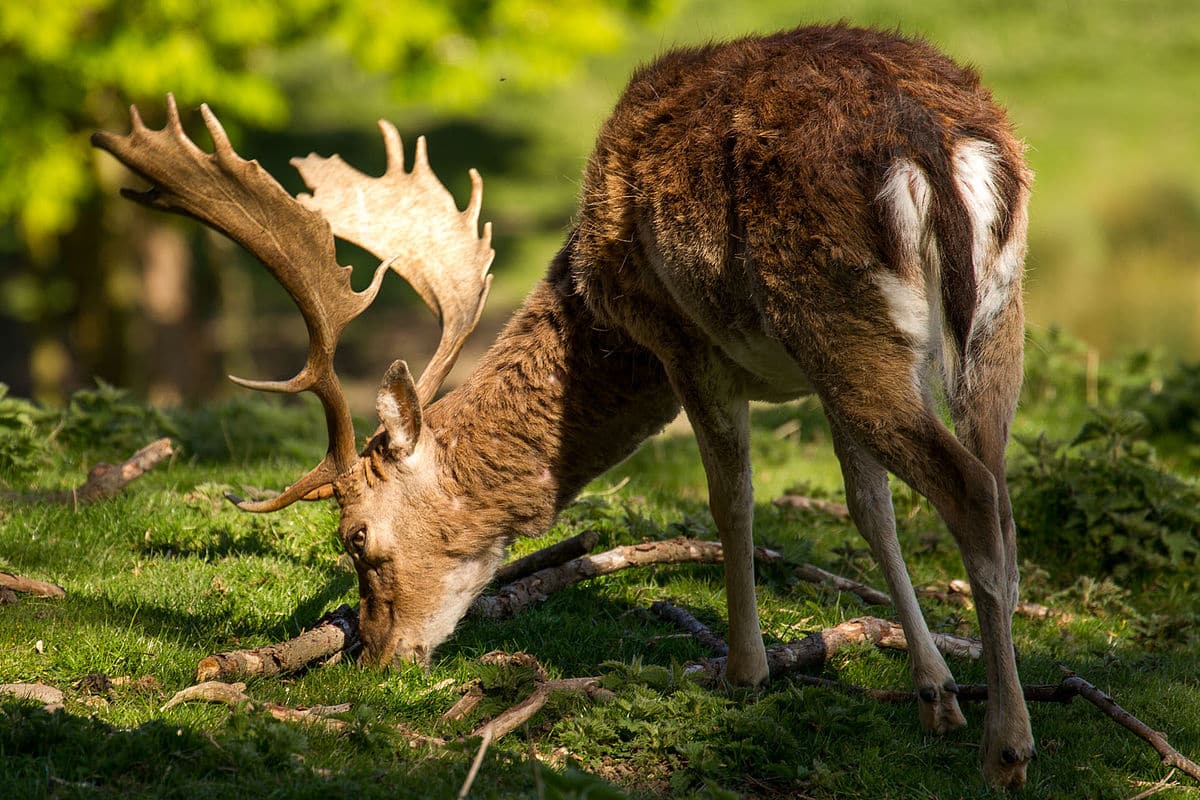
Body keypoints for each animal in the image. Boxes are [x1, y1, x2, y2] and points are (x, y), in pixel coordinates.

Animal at [92, 24, 1034, 789]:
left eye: (355, 538)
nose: (378, 658)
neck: (598, 306)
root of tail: (935, 143)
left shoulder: (685, 344)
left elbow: (732, 502)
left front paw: (743, 672)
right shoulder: (805, 380)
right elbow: (869, 509)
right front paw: (933, 693)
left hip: (839, 317)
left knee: (969, 490)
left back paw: (1008, 749)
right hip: (983, 322)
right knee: (997, 488)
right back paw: (996, 711)